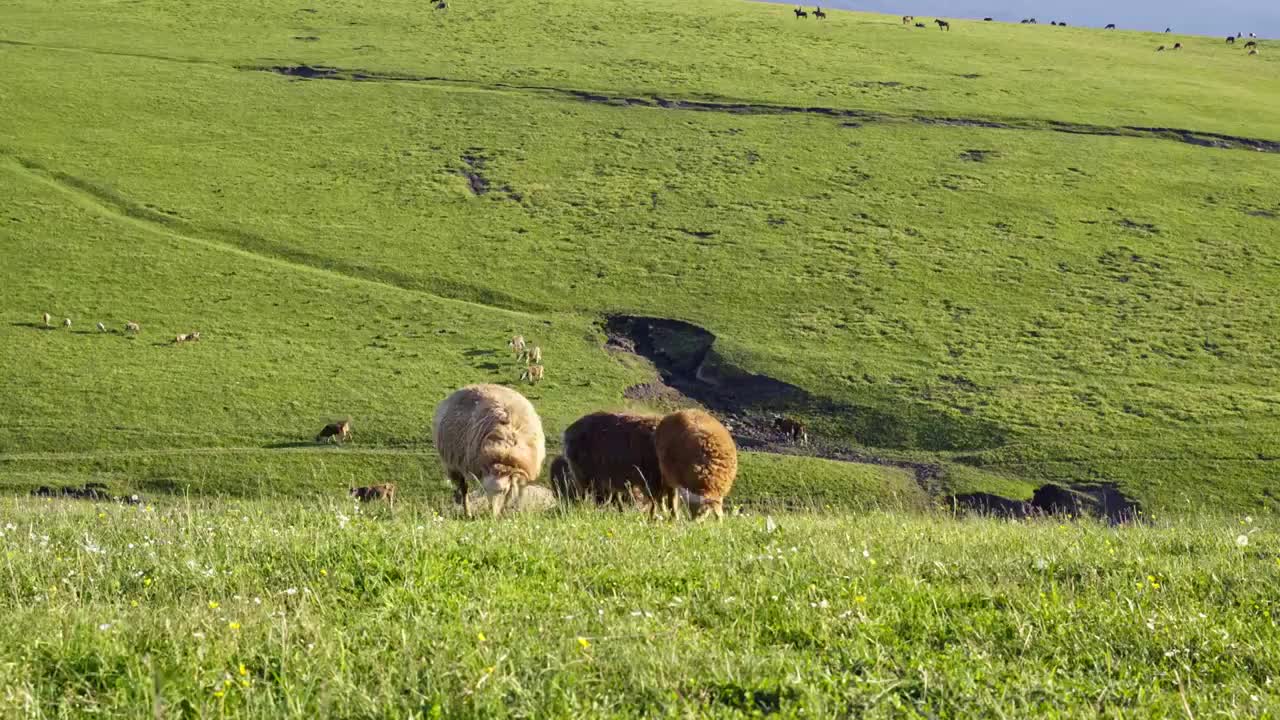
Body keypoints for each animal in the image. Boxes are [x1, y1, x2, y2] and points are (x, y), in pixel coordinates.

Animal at [435, 381, 545, 515]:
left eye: (503, 490)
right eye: (485, 490)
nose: (492, 514)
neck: (505, 451)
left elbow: (517, 494)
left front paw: (512, 511)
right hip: (454, 466)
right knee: (463, 489)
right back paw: (467, 512)